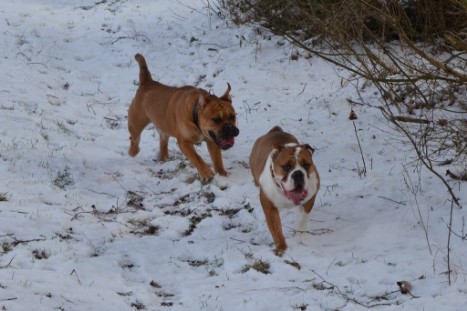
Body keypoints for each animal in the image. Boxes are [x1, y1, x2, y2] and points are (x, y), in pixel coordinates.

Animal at [250, 127, 320, 256]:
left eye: (306, 165)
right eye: (286, 167)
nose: (298, 173)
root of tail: (274, 130)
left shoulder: (310, 199)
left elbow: (302, 219)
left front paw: (299, 236)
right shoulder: (270, 207)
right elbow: (276, 229)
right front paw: (281, 247)